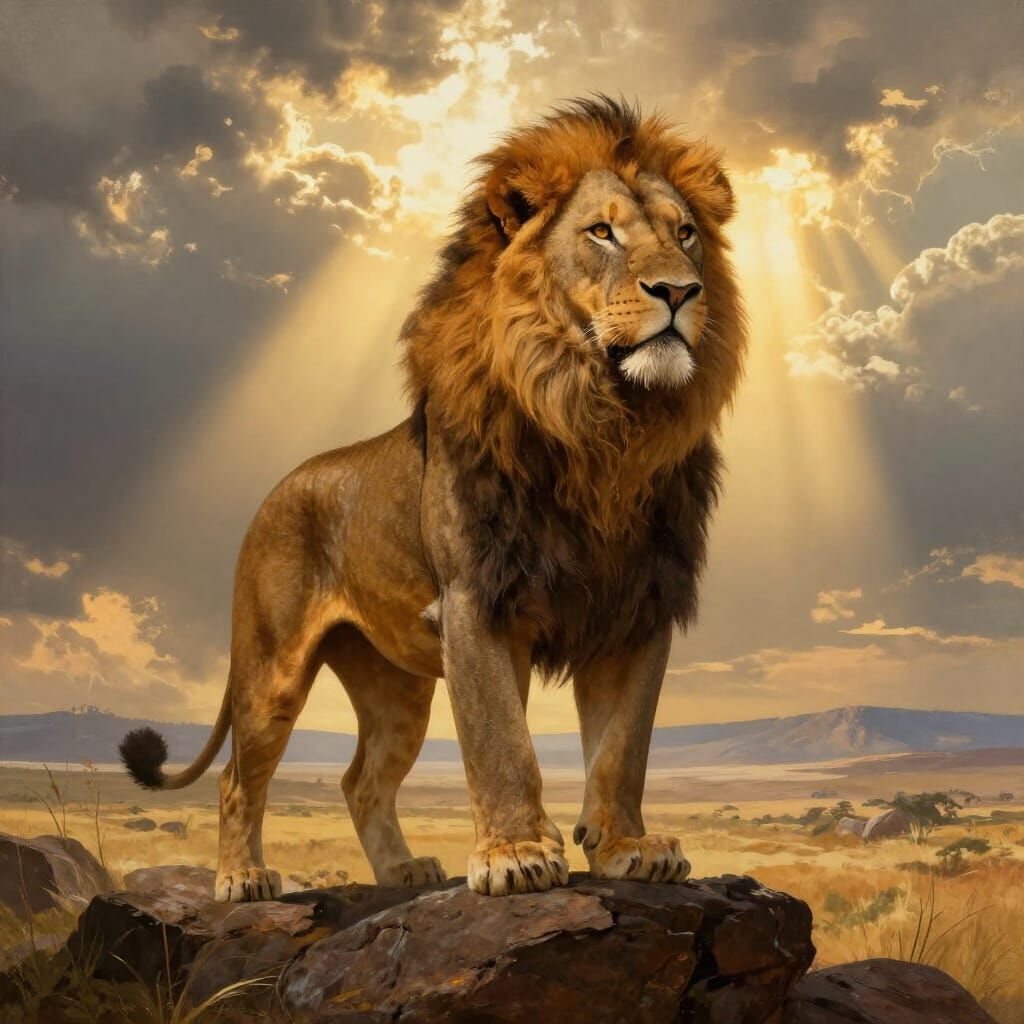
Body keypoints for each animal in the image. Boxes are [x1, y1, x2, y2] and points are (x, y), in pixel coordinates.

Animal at [119, 96, 747, 901]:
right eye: (601, 233)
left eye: (685, 233)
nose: (679, 291)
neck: (603, 429)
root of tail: (278, 489)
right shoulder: (477, 598)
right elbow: (501, 742)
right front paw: (516, 855)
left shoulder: (638, 607)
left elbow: (622, 748)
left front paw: (626, 847)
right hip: (270, 669)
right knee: (237, 779)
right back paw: (243, 879)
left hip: (396, 689)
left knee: (361, 780)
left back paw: (402, 870)